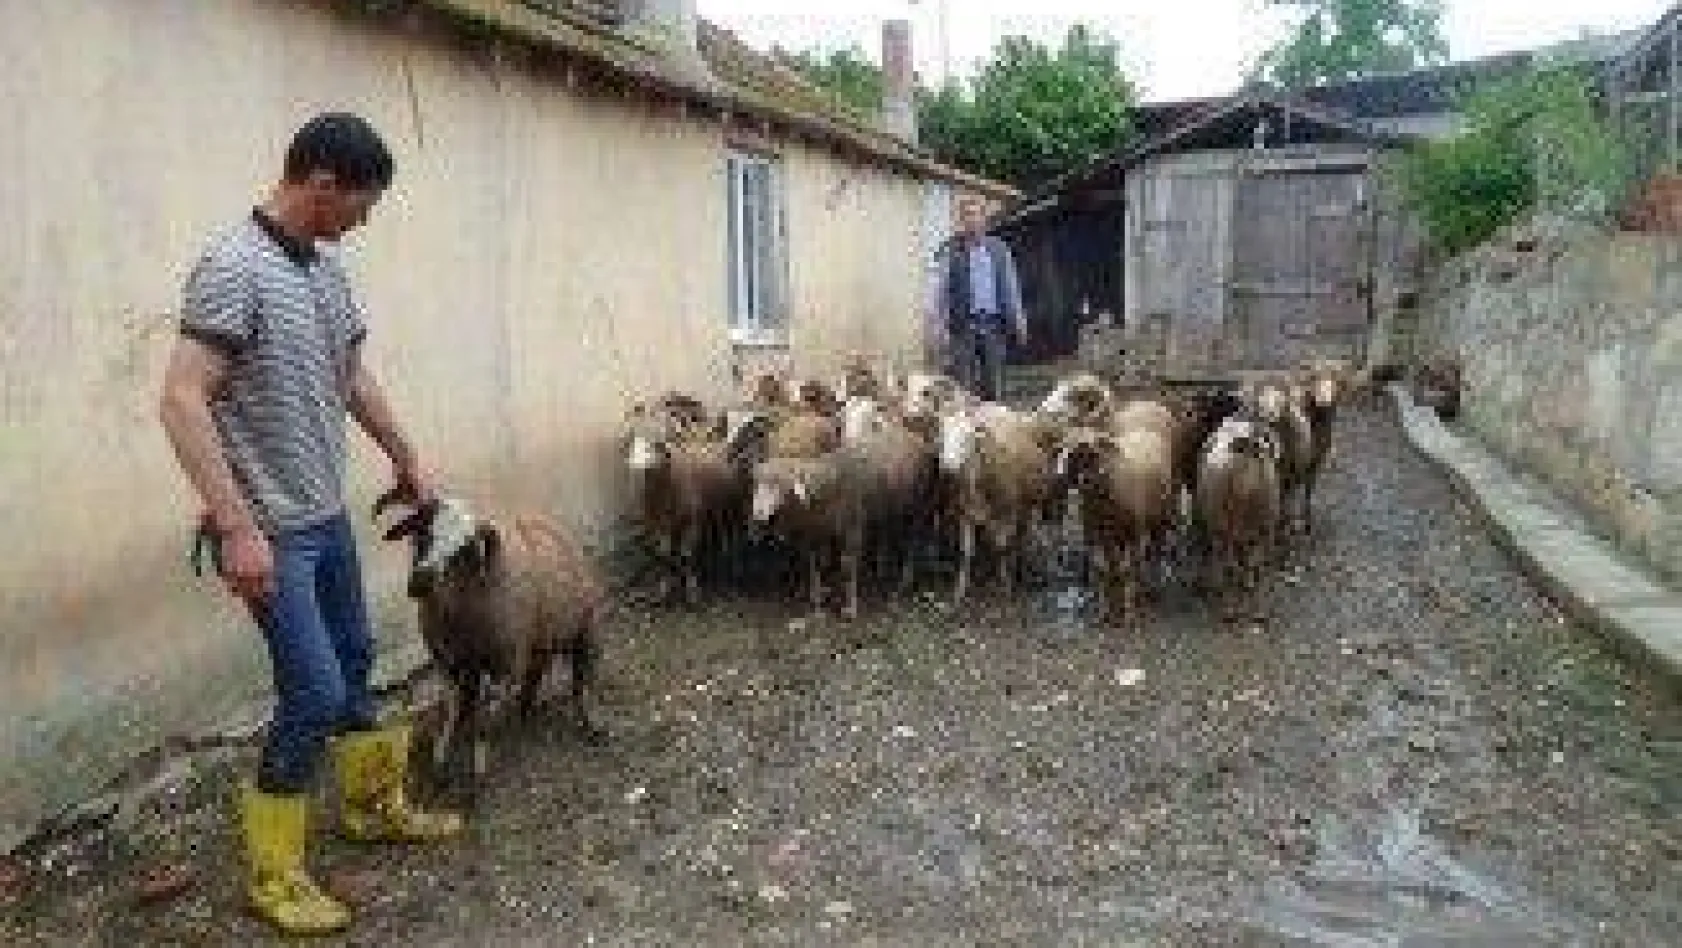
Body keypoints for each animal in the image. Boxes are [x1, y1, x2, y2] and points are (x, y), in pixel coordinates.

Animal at [373, 487, 605, 800]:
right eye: (423, 529)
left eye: (465, 546)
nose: (421, 580)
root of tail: (553, 528)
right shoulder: (447, 662)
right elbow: (451, 710)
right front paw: (440, 762)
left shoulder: (502, 666)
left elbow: (483, 724)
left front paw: (477, 778)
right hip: (533, 642)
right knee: (535, 670)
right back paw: (524, 709)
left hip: (585, 630)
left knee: (582, 680)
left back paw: (589, 723)